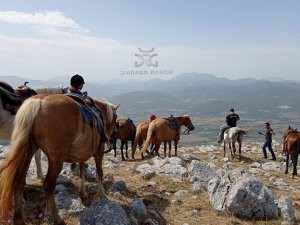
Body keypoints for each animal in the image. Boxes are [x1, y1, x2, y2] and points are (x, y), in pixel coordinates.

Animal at [0, 94, 118, 224]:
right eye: (115, 118)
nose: (112, 136)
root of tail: (39, 101)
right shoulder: (98, 153)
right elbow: (99, 172)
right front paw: (102, 194)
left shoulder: (81, 155)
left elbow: (82, 172)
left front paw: (83, 193)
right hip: (56, 160)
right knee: (48, 185)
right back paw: (56, 217)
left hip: (29, 150)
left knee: (19, 181)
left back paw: (19, 218)